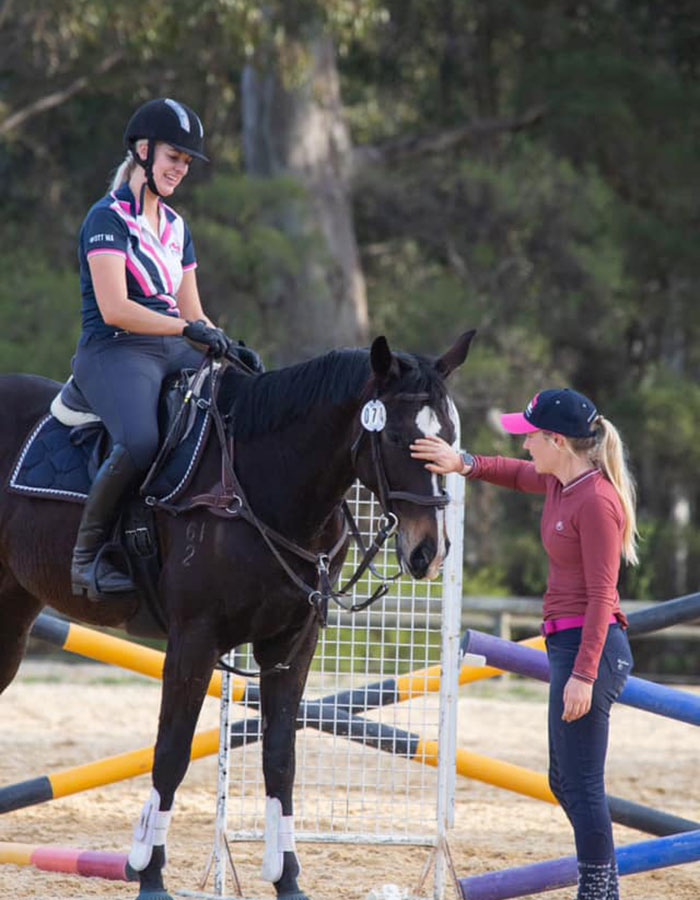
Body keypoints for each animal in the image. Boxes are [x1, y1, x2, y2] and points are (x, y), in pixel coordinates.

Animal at [0, 330, 476, 900]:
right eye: (398, 437)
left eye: (449, 435)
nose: (430, 552)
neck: (266, 482)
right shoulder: (193, 640)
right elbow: (172, 752)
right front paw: (149, 873)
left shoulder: (292, 644)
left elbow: (280, 758)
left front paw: (287, 877)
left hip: (13, 610)